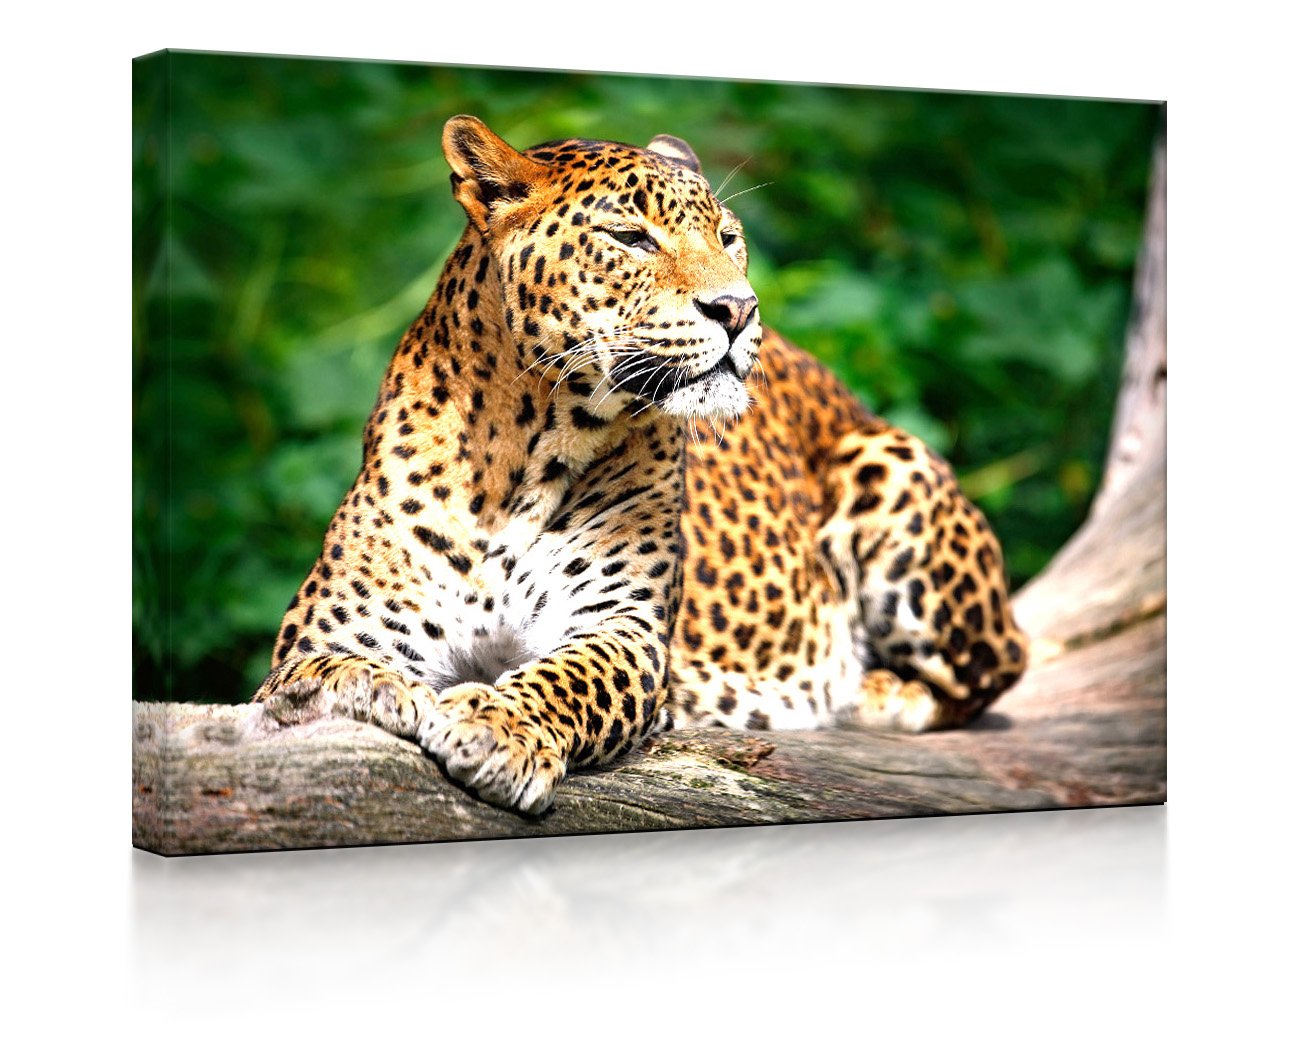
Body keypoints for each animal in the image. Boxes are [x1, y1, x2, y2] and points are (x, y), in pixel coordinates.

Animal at [253, 115, 1028, 816]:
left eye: (728, 237)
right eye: (630, 238)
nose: (739, 309)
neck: (523, 450)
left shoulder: (624, 626)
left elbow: (569, 677)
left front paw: (498, 728)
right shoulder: (336, 626)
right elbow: (316, 671)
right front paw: (373, 690)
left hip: (893, 465)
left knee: (996, 666)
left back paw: (870, 690)